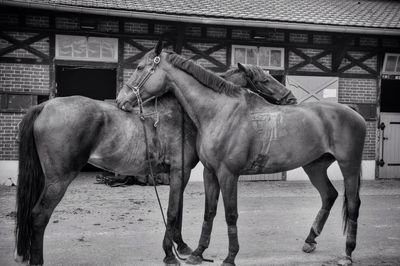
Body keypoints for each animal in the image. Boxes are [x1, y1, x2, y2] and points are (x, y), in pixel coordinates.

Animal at [14, 58, 292, 264]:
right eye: (266, 79)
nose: (290, 98)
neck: (185, 113)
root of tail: (44, 106)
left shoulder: (178, 173)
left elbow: (177, 210)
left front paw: (182, 246)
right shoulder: (180, 171)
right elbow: (172, 211)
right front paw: (170, 254)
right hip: (58, 180)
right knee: (39, 216)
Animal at [115, 41, 366, 266]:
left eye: (140, 68)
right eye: (265, 79)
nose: (120, 100)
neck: (219, 112)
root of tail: (352, 111)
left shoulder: (228, 174)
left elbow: (230, 214)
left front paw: (230, 257)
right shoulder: (210, 173)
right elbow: (209, 212)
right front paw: (197, 253)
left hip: (349, 166)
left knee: (353, 204)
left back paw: (347, 254)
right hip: (314, 166)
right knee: (329, 195)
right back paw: (310, 240)